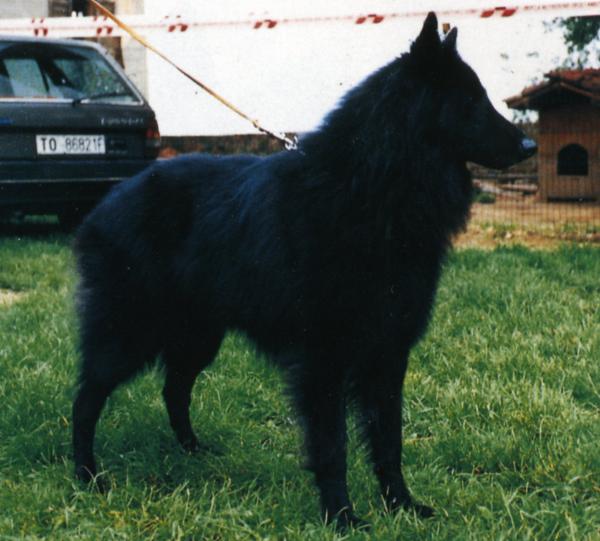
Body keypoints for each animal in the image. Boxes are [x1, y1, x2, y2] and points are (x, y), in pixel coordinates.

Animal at [72, 12, 536, 528]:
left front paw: (401, 505)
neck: (371, 187)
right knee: (87, 397)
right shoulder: (323, 360)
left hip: (198, 337)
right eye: (470, 101)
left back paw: (193, 452)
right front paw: (342, 517)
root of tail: (104, 205)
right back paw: (87, 475)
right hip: (130, 333)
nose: (531, 144)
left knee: (174, 389)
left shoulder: (388, 353)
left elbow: (389, 441)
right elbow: (333, 447)